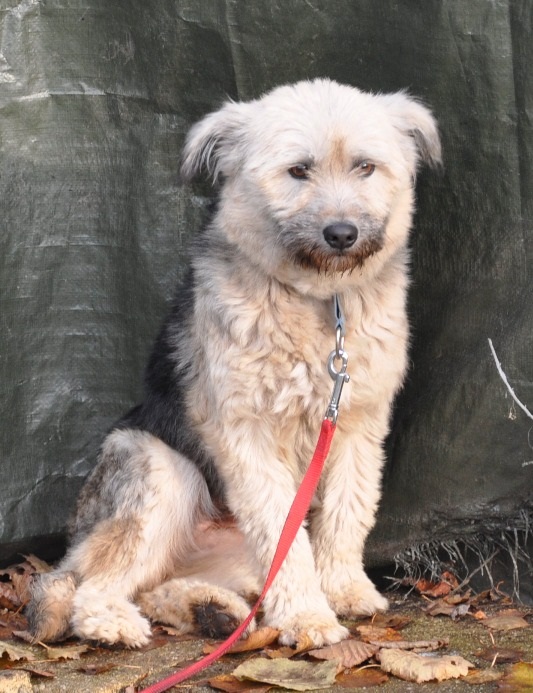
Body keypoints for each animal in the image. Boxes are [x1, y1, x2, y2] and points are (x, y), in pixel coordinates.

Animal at [27, 78, 441, 649]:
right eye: (298, 170)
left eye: (365, 166)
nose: (342, 234)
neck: (318, 300)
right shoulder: (246, 432)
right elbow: (282, 534)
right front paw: (306, 616)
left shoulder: (357, 423)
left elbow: (348, 510)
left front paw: (344, 588)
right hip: (160, 468)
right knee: (94, 583)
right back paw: (112, 621)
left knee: (158, 587)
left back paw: (210, 609)